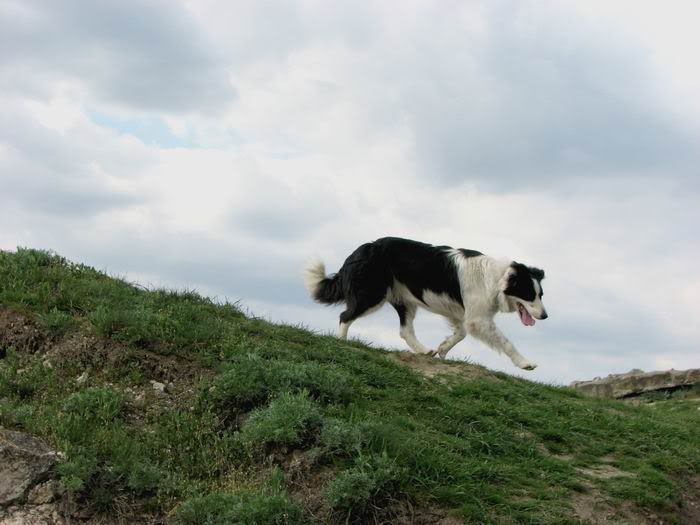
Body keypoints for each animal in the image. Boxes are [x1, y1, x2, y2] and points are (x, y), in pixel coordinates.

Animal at [304, 237, 547, 370]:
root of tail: (361, 249)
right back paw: (341, 341)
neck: (498, 278)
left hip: (404, 299)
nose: (545, 316)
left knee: (405, 330)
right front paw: (525, 363)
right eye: (529, 294)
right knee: (345, 316)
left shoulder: (459, 313)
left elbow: (461, 333)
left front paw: (443, 348)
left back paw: (424, 351)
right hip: (372, 294)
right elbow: (506, 342)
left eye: (541, 294)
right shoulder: (478, 319)